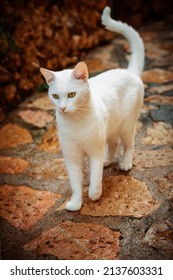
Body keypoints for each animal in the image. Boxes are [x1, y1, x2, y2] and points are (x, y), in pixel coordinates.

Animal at [40, 6, 145, 211]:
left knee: (129, 144)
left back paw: (125, 163)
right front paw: (76, 202)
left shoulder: (94, 150)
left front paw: (95, 194)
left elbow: (95, 176)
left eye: (71, 95)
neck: (76, 123)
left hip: (126, 125)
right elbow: (75, 182)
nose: (62, 108)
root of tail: (128, 72)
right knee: (114, 143)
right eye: (55, 96)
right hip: (111, 128)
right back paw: (107, 161)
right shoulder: (72, 157)